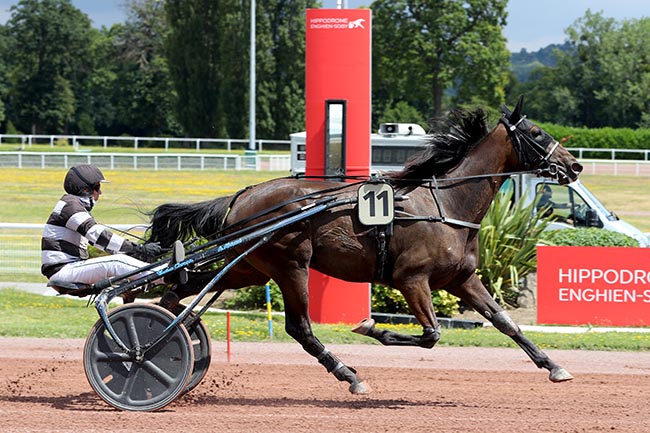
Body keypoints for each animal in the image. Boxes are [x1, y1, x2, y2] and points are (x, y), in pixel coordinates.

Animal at [148, 97, 584, 392]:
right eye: (536, 133)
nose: (575, 164)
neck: (447, 204)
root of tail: (242, 196)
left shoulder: (461, 280)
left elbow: (505, 322)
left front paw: (554, 366)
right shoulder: (411, 279)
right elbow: (430, 335)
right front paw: (371, 325)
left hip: (249, 267)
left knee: (184, 288)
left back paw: (167, 331)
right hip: (291, 264)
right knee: (299, 327)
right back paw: (348, 375)